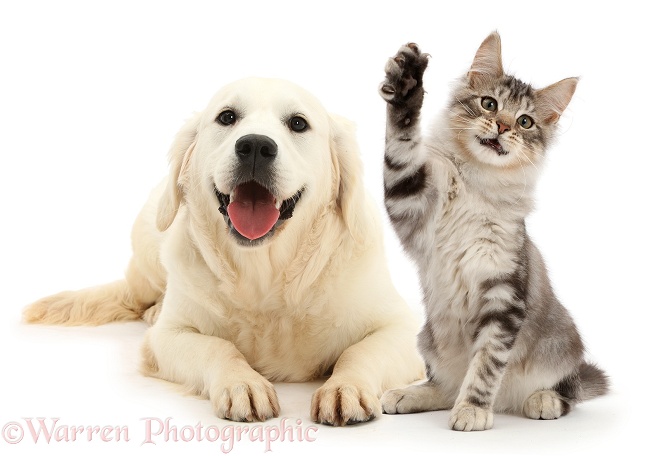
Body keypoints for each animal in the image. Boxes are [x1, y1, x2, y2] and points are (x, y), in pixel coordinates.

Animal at [25, 77, 426, 424]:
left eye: (298, 123)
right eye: (227, 117)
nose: (255, 147)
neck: (265, 274)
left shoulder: (401, 327)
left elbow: (359, 351)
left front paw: (345, 387)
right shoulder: (167, 338)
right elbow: (217, 347)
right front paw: (242, 383)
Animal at [378, 32, 608, 432]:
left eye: (526, 122)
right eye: (489, 104)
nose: (502, 127)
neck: (477, 183)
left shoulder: (504, 293)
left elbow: (486, 365)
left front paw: (473, 409)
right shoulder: (408, 199)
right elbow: (402, 141)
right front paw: (407, 84)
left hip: (563, 346)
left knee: (570, 390)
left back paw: (542, 400)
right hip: (429, 340)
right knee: (445, 386)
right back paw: (409, 394)